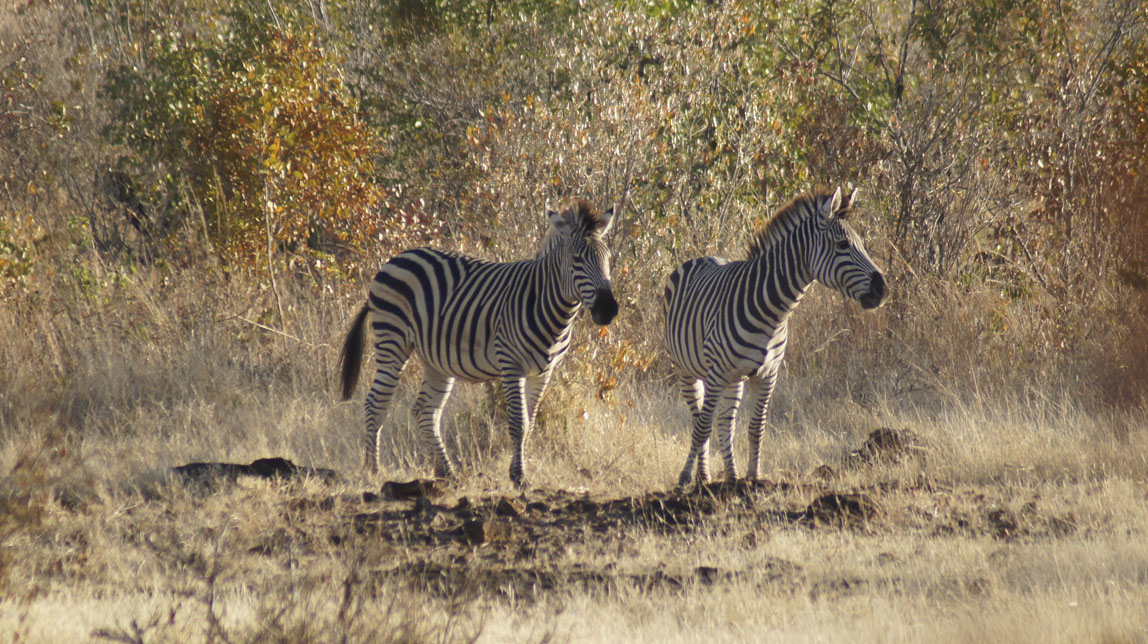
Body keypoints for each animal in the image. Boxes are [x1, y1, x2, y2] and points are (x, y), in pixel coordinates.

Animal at [337, 198, 619, 484]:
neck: (547, 305)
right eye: (577, 259)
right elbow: (519, 423)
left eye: (608, 258)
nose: (608, 309)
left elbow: (530, 423)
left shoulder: (544, 372)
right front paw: (518, 476)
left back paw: (446, 472)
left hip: (435, 359)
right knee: (375, 403)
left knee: (425, 410)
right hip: (392, 341)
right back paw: (373, 470)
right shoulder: (511, 365)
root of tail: (395, 259)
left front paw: (519, 472)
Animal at [665, 185, 886, 486]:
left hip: (734, 378)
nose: (882, 289)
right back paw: (703, 475)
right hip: (687, 370)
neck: (773, 311)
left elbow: (756, 427)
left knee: (725, 423)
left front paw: (753, 478)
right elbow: (702, 428)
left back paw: (731, 477)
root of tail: (700, 257)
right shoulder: (717, 372)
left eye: (862, 243)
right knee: (700, 418)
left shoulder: (769, 374)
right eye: (842, 245)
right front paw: (686, 479)